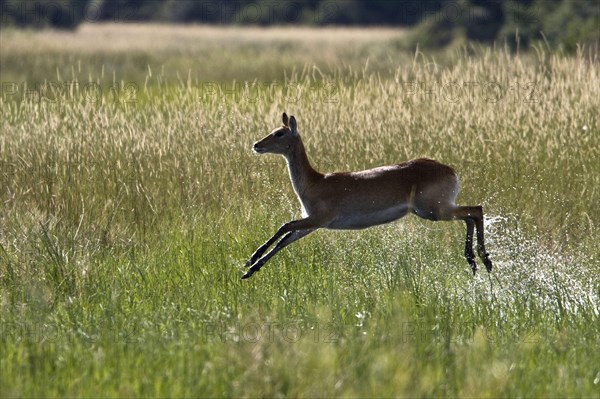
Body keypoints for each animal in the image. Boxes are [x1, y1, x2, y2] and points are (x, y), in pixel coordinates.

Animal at [241, 112, 494, 282]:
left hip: (434, 210)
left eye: (280, 132)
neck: (315, 182)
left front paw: (251, 259)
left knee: (476, 210)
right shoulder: (311, 223)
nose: (256, 145)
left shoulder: (318, 219)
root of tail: (451, 170)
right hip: (435, 210)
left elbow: (284, 227)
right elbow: (285, 239)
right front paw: (250, 269)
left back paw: (485, 260)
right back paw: (474, 261)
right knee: (471, 215)